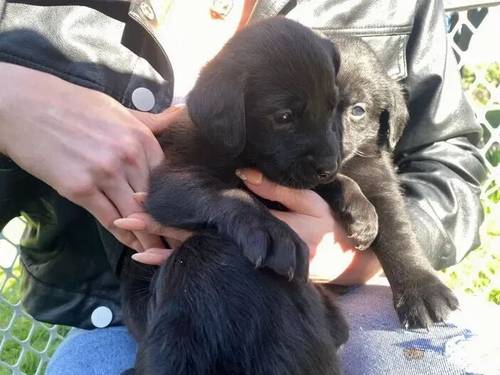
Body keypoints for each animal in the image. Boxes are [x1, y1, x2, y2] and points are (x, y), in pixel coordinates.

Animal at [120, 17, 348, 375]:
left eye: (333, 107)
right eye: (283, 117)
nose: (330, 165)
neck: (244, 154)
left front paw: (361, 208)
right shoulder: (170, 179)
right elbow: (227, 193)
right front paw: (272, 230)